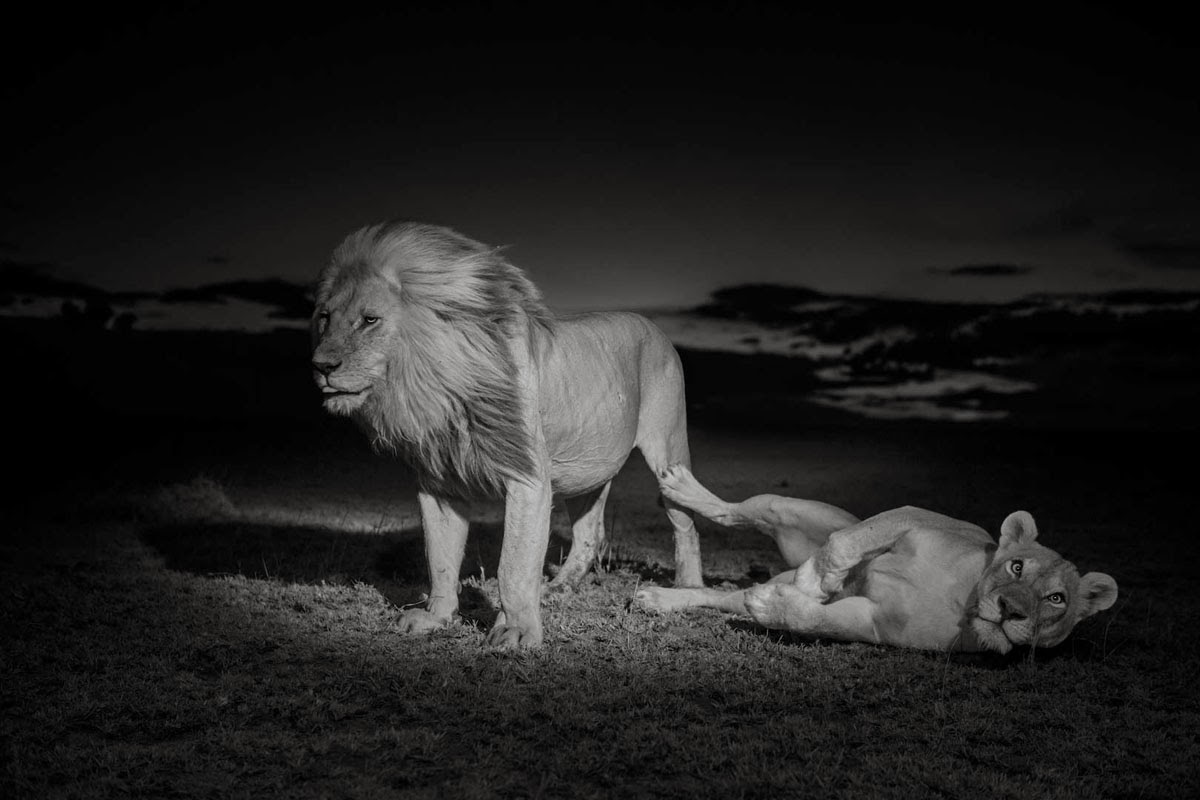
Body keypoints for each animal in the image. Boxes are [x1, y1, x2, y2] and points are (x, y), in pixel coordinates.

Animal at [311, 221, 703, 648]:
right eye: (325, 318)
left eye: (370, 320)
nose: (320, 366)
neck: (434, 387)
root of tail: (653, 325)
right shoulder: (437, 485)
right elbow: (440, 559)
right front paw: (435, 617)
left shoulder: (528, 477)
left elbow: (513, 565)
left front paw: (516, 631)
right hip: (587, 471)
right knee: (589, 534)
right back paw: (559, 589)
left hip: (668, 450)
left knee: (685, 525)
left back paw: (686, 590)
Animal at [636, 465, 1118, 653]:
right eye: (1016, 566)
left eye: (1056, 599)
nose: (1009, 610)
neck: (963, 597)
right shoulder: (909, 515)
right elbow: (842, 547)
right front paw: (816, 581)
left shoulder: (872, 624)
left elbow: (813, 618)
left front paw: (775, 604)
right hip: (789, 507)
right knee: (736, 511)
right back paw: (679, 486)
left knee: (719, 596)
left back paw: (659, 599)